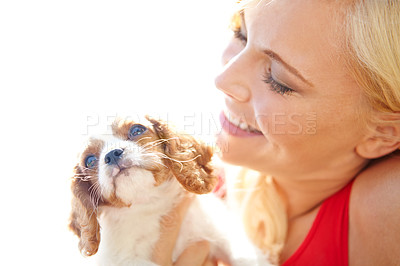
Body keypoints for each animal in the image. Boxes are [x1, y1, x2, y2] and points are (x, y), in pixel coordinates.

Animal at [69, 115, 272, 264]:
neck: (150, 203)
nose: (112, 154)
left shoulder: (225, 234)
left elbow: (243, 256)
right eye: (90, 161)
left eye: (137, 130)